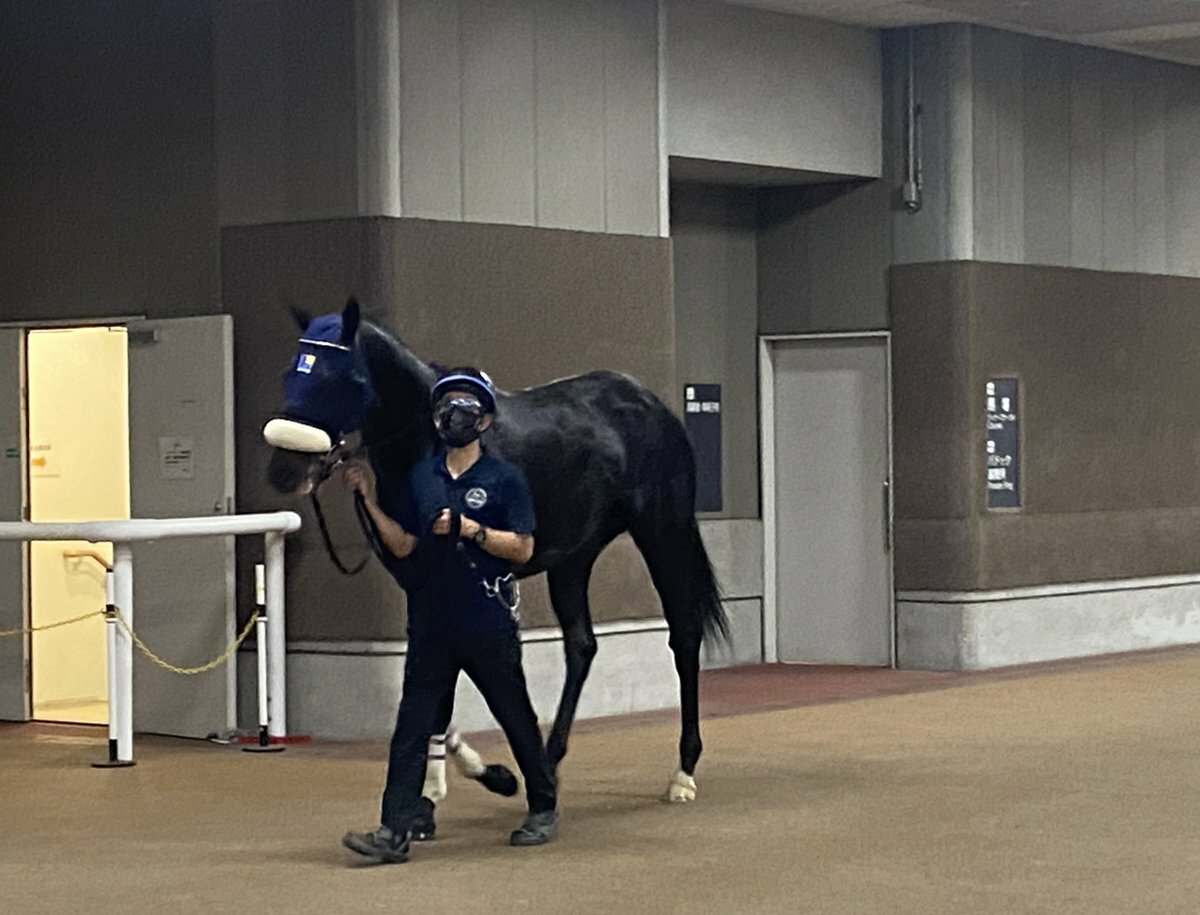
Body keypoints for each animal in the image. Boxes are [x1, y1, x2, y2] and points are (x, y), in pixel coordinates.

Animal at [263, 298, 727, 804]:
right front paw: (458, 769)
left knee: (683, 636)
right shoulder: (418, 578)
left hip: (663, 533)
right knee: (581, 646)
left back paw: (683, 772)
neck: (431, 441)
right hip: (574, 556)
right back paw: (548, 760)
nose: (284, 471)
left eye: (339, 376)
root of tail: (652, 404)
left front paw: (457, 775)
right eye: (292, 371)